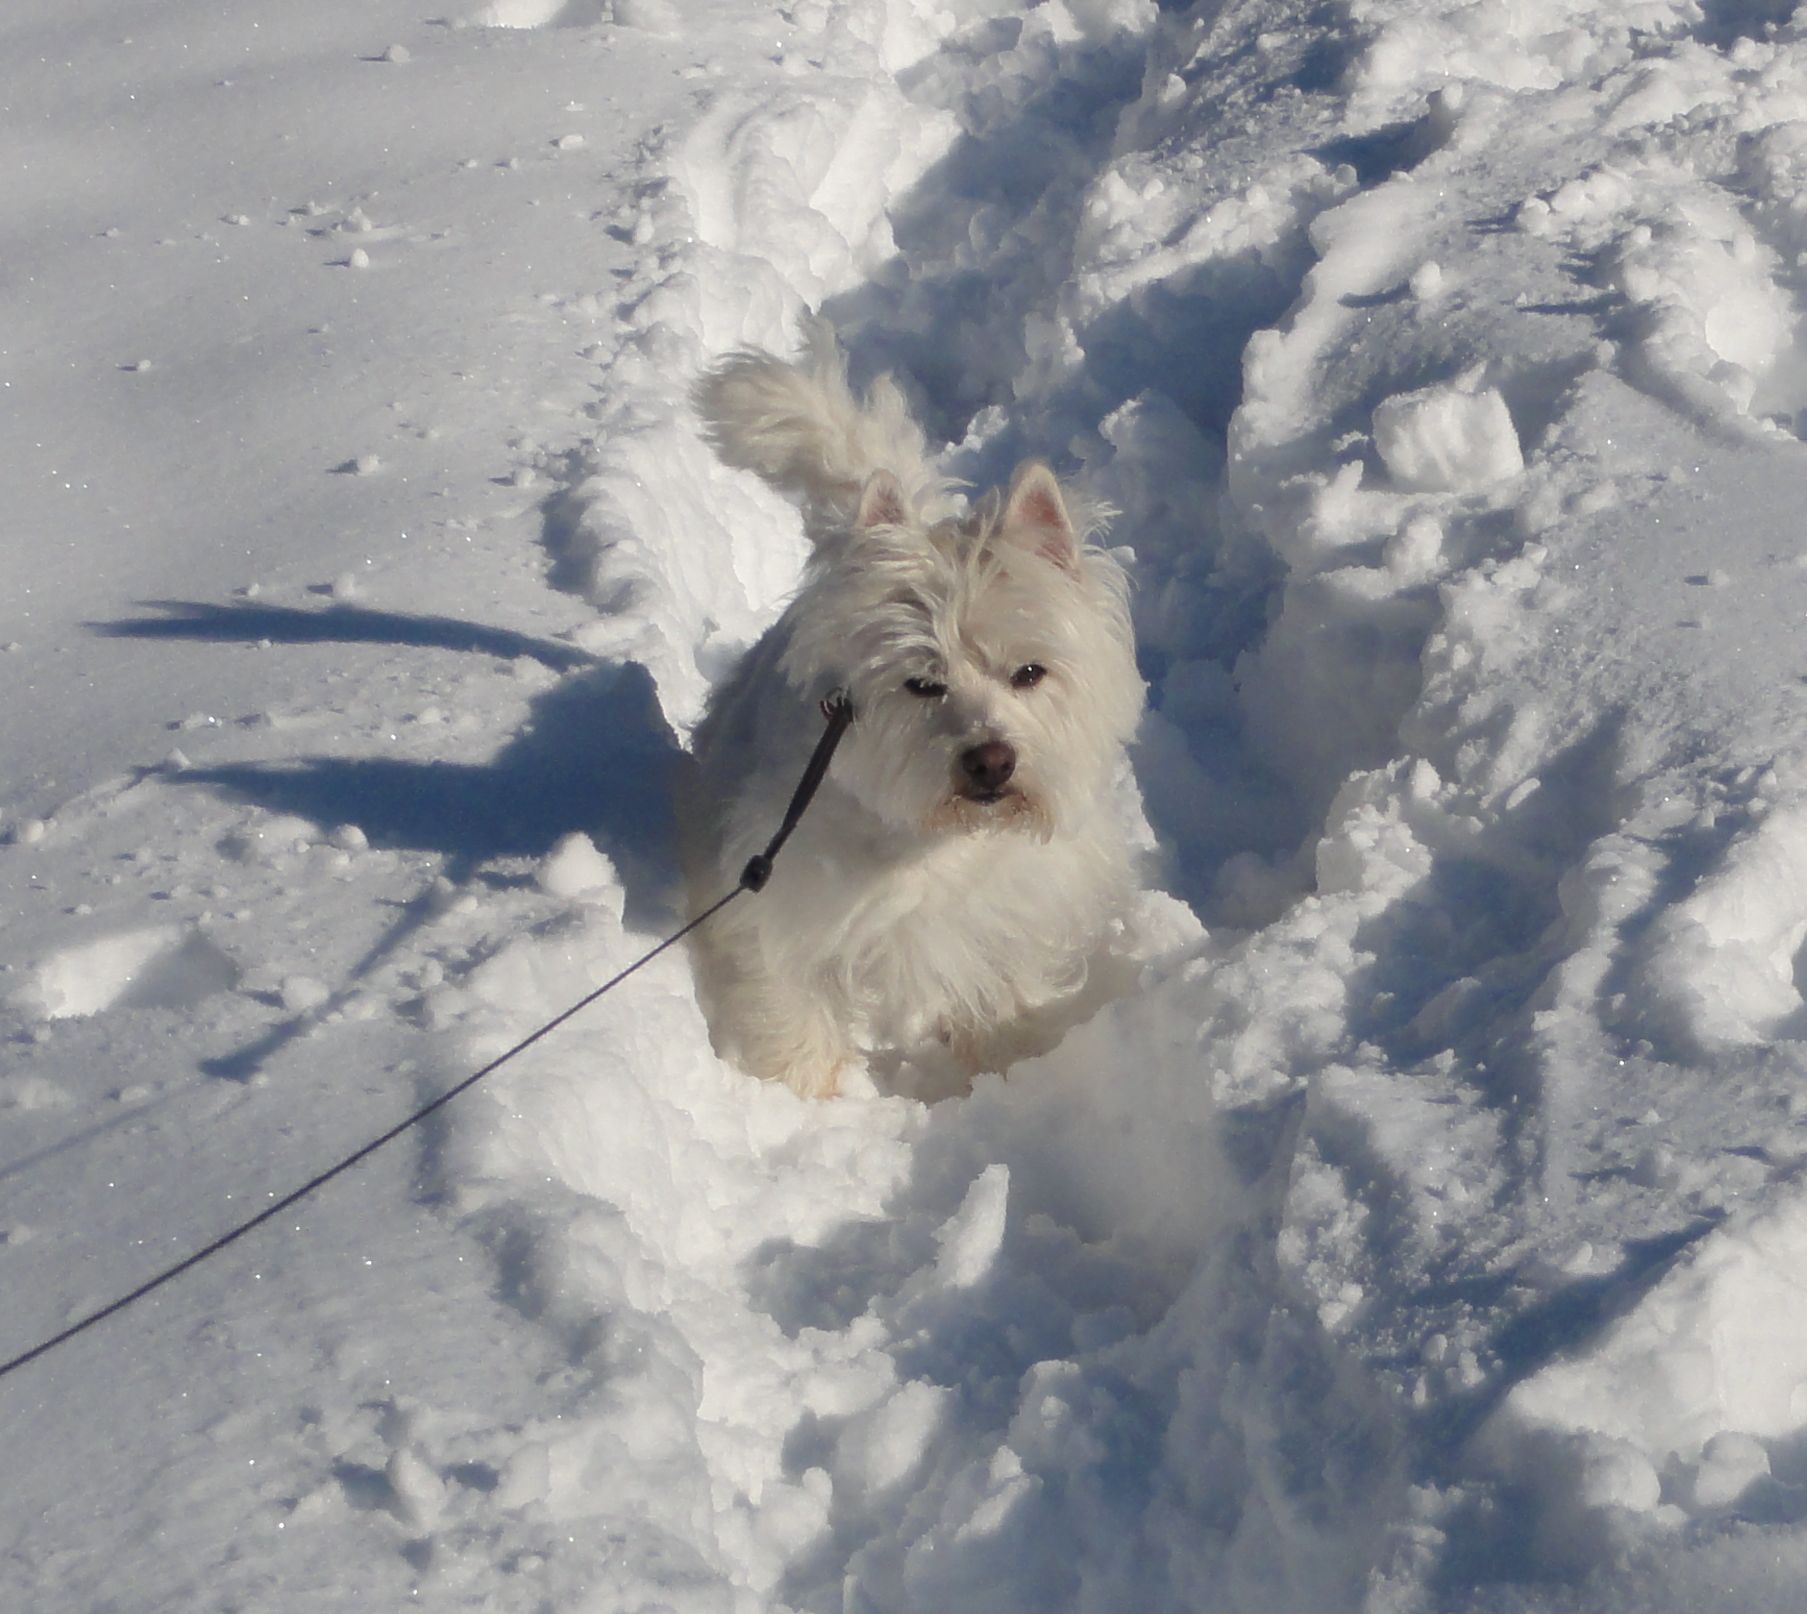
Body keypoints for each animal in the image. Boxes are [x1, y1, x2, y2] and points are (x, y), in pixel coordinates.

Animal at [679, 327, 1142, 1098]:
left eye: (1029, 672)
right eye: (922, 683)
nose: (991, 760)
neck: (930, 843)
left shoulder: (1006, 914)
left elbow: (1000, 989)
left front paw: (1007, 1069)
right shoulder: (777, 901)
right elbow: (790, 1010)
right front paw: (809, 1098)